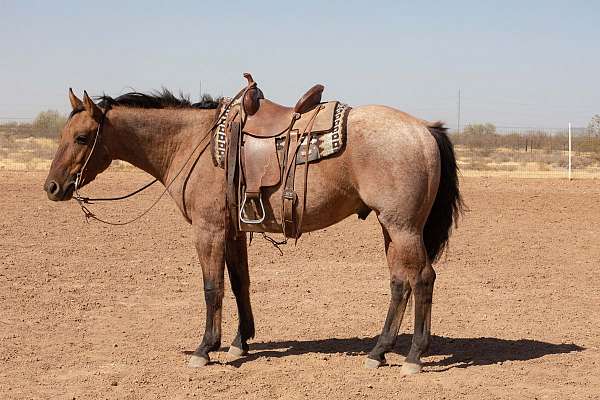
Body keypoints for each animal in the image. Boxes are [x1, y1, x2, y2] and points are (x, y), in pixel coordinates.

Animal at [44, 84, 464, 376]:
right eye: (63, 134)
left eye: (82, 137)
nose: (52, 187)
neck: (191, 143)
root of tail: (424, 129)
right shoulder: (233, 231)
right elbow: (239, 283)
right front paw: (239, 342)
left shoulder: (209, 230)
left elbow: (212, 287)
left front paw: (205, 349)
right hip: (391, 228)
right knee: (399, 282)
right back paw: (378, 352)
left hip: (403, 227)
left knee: (423, 278)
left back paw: (414, 356)